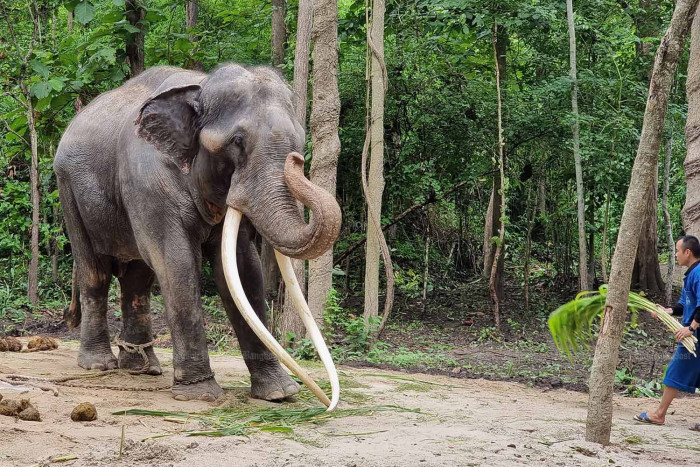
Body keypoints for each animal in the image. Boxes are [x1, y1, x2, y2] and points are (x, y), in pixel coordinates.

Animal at [54, 64, 340, 407]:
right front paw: (200, 394)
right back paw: (99, 364)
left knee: (137, 279)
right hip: (69, 190)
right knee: (95, 271)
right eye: (238, 141)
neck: (200, 86)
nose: (295, 162)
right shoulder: (148, 181)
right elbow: (176, 261)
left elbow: (242, 269)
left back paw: (143, 368)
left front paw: (279, 394)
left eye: (299, 141)